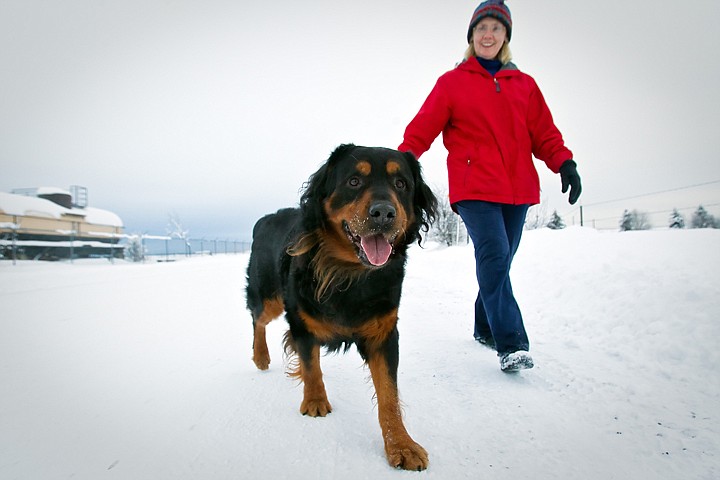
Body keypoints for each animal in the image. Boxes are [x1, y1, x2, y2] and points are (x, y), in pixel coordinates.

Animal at [248, 143, 436, 472]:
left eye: (401, 184)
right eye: (354, 181)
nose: (384, 213)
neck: (350, 272)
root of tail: (265, 219)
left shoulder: (384, 333)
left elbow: (389, 394)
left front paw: (401, 444)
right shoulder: (301, 320)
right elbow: (311, 365)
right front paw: (314, 401)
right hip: (269, 296)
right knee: (258, 318)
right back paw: (261, 356)